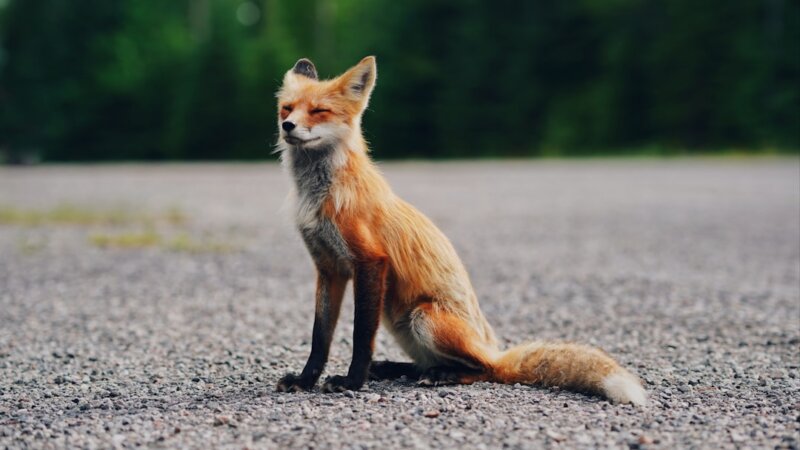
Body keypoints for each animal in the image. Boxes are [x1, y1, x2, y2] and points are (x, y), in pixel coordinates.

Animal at [273, 56, 647, 405]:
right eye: (287, 108)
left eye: (319, 111)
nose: (287, 126)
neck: (320, 196)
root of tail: (493, 348)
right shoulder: (329, 268)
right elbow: (320, 336)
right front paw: (305, 380)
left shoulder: (369, 261)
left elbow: (360, 336)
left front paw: (352, 381)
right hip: (398, 319)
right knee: (430, 364)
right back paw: (399, 369)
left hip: (423, 318)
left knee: (485, 369)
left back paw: (443, 374)